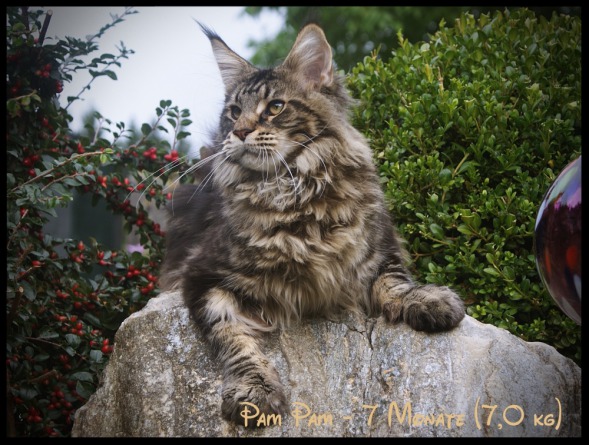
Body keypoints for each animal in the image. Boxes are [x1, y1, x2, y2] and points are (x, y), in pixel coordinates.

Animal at [159, 23, 465, 427]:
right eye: (235, 111)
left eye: (275, 107)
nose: (238, 131)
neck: (294, 195)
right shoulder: (202, 275)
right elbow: (232, 337)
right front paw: (254, 390)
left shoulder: (379, 245)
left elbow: (394, 283)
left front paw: (426, 299)